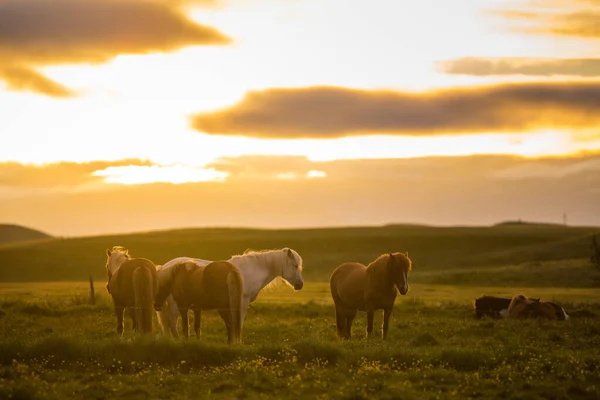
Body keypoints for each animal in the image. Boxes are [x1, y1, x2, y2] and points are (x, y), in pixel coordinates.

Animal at [155, 247, 304, 338]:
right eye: (295, 265)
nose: (300, 285)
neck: (250, 271)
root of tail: (165, 268)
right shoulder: (241, 302)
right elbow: (238, 322)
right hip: (175, 304)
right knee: (172, 322)